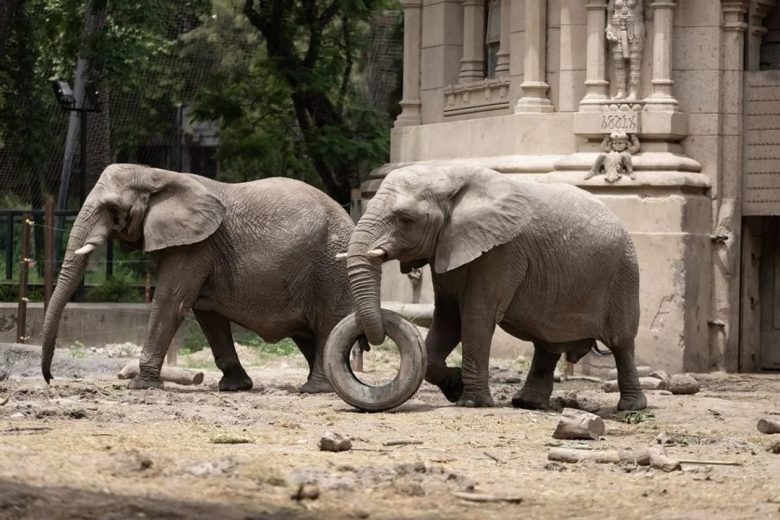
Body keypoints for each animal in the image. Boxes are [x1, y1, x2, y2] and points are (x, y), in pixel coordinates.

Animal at [41, 163, 355, 393]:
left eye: (112, 209)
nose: (50, 379)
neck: (156, 174)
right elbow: (206, 313)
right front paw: (235, 387)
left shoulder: (196, 246)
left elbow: (171, 303)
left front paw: (141, 385)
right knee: (306, 333)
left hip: (331, 268)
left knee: (327, 324)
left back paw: (315, 389)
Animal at [346, 164, 647, 411]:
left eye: (405, 219)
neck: (449, 174)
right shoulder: (448, 245)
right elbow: (448, 318)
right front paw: (455, 387)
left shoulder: (503, 251)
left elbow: (476, 315)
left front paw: (471, 403)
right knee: (547, 343)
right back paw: (527, 403)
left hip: (625, 274)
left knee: (622, 342)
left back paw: (631, 408)